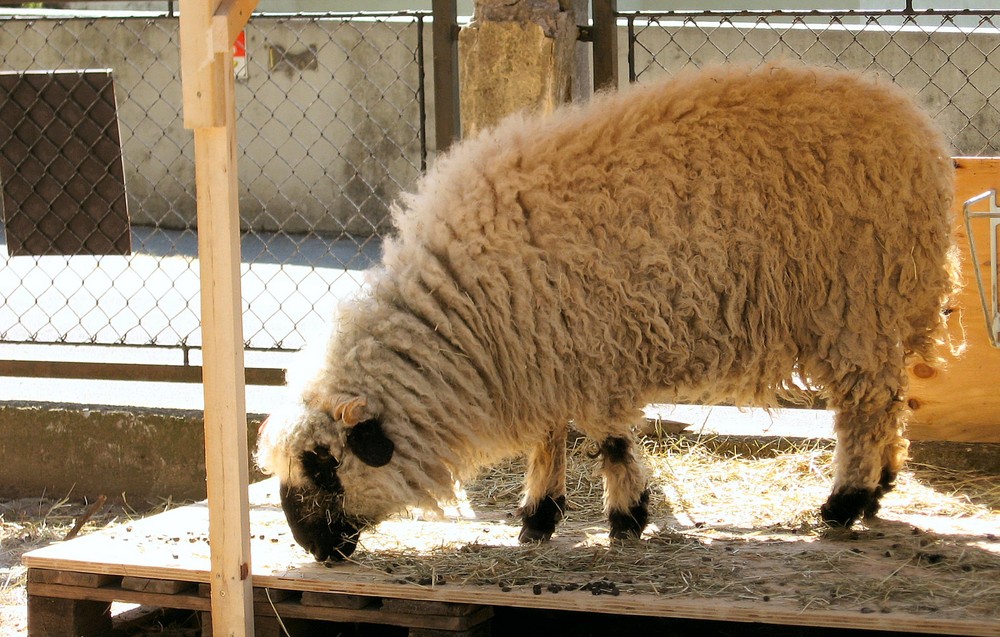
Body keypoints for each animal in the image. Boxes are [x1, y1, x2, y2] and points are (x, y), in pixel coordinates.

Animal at [254, 63, 956, 560]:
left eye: (324, 465)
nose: (314, 551)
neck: (460, 320)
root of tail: (918, 125)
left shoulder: (591, 349)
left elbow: (611, 441)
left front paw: (625, 519)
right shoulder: (544, 349)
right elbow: (548, 437)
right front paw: (539, 517)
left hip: (855, 301)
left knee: (865, 407)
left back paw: (845, 502)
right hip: (878, 312)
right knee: (890, 400)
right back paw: (880, 486)